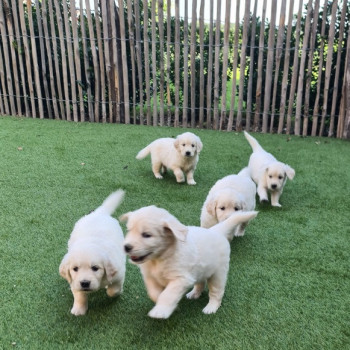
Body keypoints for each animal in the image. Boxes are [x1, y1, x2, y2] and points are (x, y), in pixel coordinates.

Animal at [120, 206, 258, 318]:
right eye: (129, 231)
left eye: (146, 235)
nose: (126, 247)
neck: (160, 258)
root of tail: (215, 230)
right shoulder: (150, 277)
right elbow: (154, 293)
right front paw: (169, 306)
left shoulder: (181, 279)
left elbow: (168, 294)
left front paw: (161, 310)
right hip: (200, 270)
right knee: (200, 283)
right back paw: (194, 294)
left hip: (218, 274)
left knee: (216, 292)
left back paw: (211, 307)